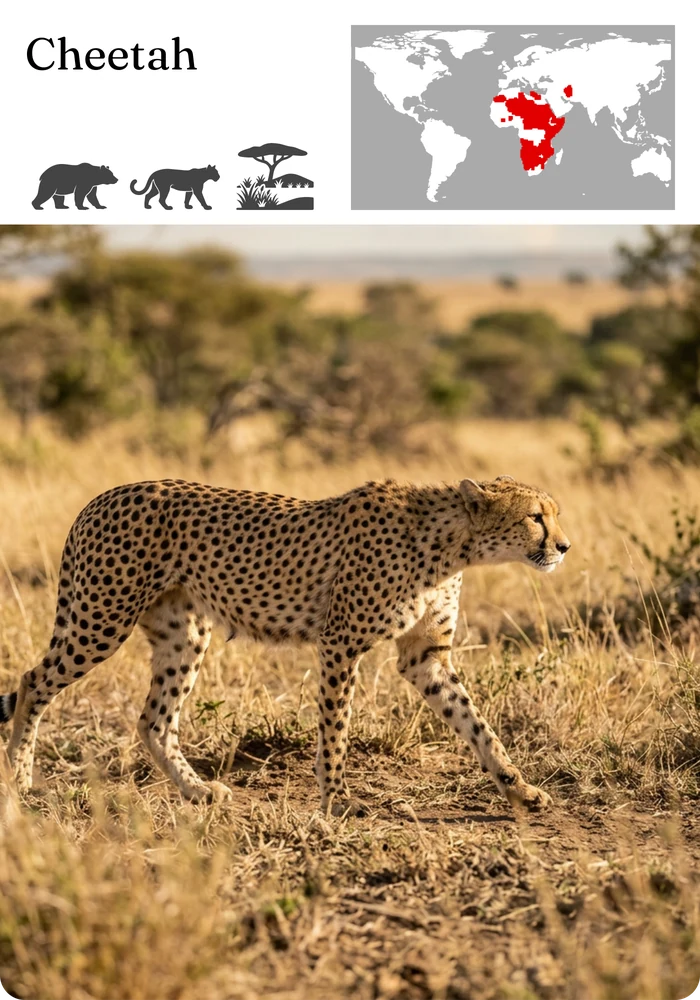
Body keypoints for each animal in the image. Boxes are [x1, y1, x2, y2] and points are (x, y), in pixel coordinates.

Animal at [0, 475, 570, 815]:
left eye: (553, 513)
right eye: (534, 517)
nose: (564, 546)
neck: (451, 545)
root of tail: (102, 496)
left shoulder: (424, 656)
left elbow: (477, 724)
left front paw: (518, 786)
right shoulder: (341, 642)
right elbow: (335, 728)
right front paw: (337, 799)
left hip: (183, 633)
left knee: (154, 721)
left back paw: (197, 790)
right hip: (102, 618)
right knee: (31, 682)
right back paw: (19, 779)